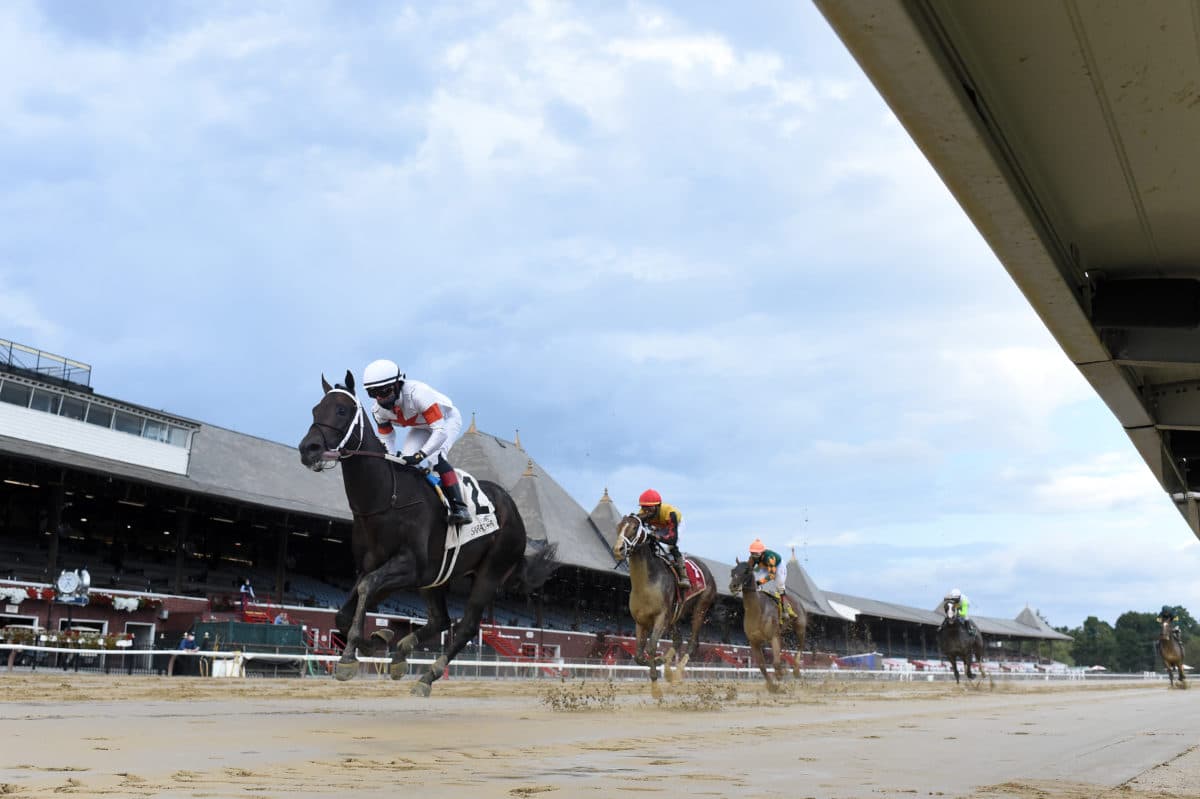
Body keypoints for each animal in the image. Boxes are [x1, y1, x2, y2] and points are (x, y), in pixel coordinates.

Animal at [295, 371, 556, 691]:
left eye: (342, 411)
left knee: (467, 626)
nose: (309, 449)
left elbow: (367, 588)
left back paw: (429, 675)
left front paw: (350, 657)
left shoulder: (410, 566)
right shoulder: (376, 566)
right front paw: (376, 641)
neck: (386, 498)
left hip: (489, 572)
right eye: (315, 410)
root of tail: (516, 514)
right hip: (436, 578)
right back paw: (402, 654)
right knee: (441, 620)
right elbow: (347, 611)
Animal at [614, 513, 715, 695]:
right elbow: (639, 655)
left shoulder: (661, 617)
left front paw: (655, 688)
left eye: (634, 528)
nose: (618, 549)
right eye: (618, 526)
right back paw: (668, 671)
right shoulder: (641, 621)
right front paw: (659, 662)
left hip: (700, 608)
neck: (647, 583)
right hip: (675, 616)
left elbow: (651, 647)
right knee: (678, 640)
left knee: (692, 643)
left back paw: (676, 675)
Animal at [724, 554, 811, 691]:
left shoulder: (773, 636)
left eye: (746, 571)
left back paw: (796, 670)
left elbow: (775, 663)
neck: (757, 611)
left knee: (800, 646)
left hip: (800, 628)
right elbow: (761, 665)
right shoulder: (754, 641)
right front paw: (772, 686)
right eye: (733, 571)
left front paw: (780, 674)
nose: (734, 586)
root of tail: (799, 601)